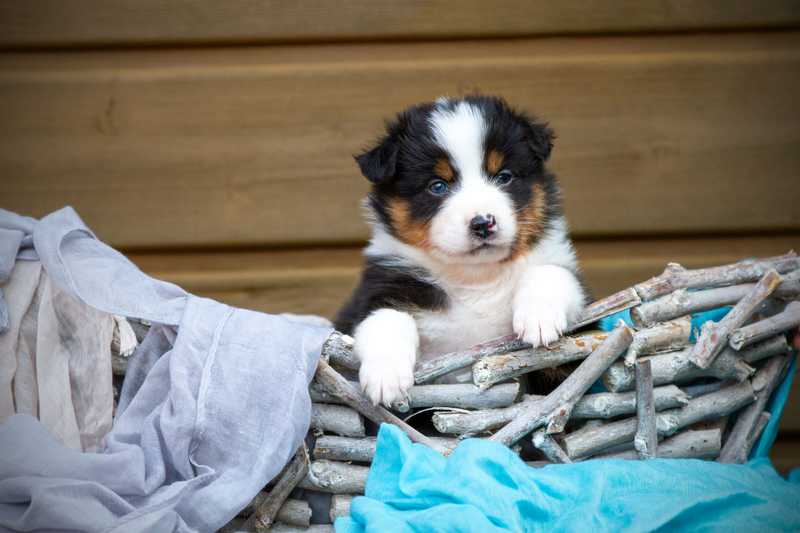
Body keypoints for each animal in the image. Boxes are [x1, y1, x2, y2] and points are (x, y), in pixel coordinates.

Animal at [335, 95, 587, 406]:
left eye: (504, 176)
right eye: (437, 186)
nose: (483, 223)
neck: (475, 278)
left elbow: (551, 274)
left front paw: (539, 319)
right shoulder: (379, 291)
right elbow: (386, 318)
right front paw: (386, 376)